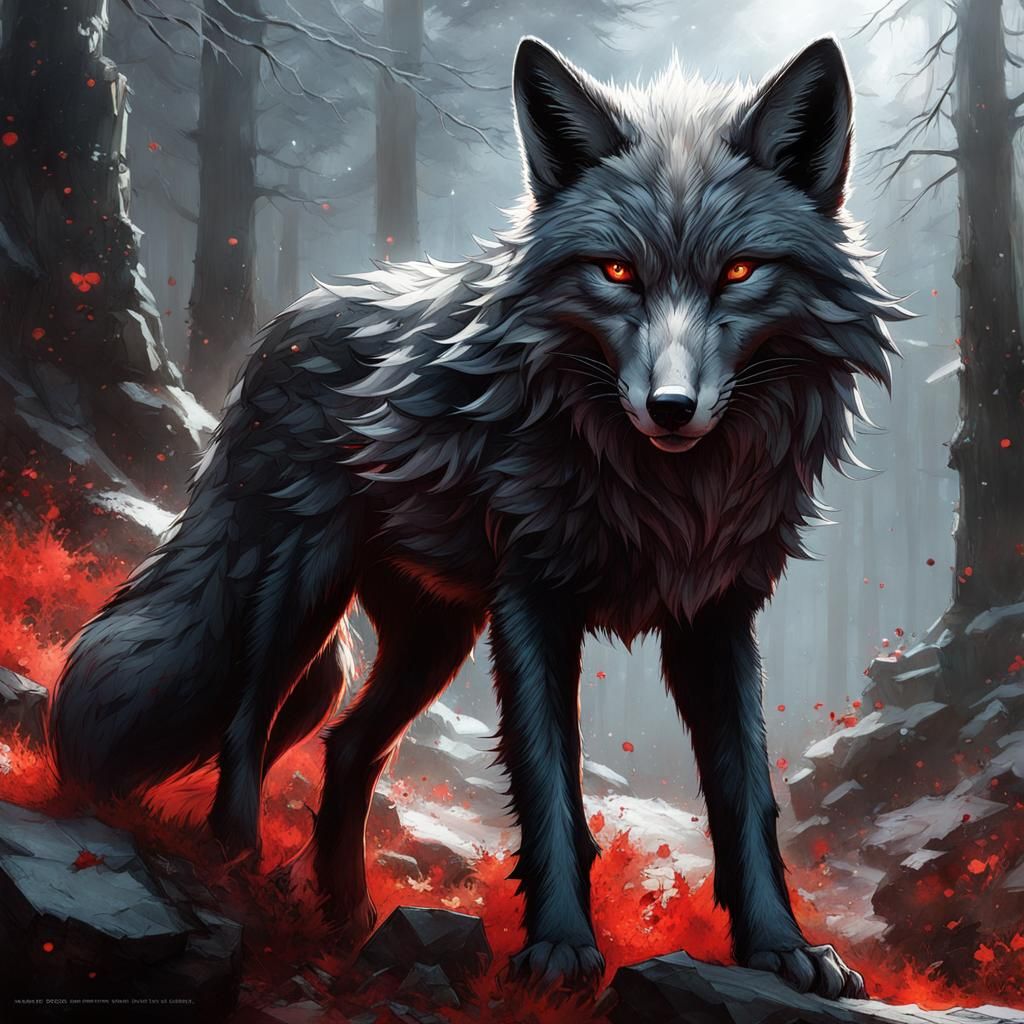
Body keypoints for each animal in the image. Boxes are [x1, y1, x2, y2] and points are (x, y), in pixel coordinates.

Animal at [50, 35, 905, 999]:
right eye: (617, 272)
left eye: (739, 272)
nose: (671, 408)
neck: (670, 495)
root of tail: (293, 318)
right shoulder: (533, 603)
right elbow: (549, 788)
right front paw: (559, 951)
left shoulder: (715, 619)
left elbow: (745, 796)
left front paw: (780, 949)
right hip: (302, 594)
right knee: (247, 723)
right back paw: (239, 866)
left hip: (436, 637)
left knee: (345, 748)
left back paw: (348, 919)